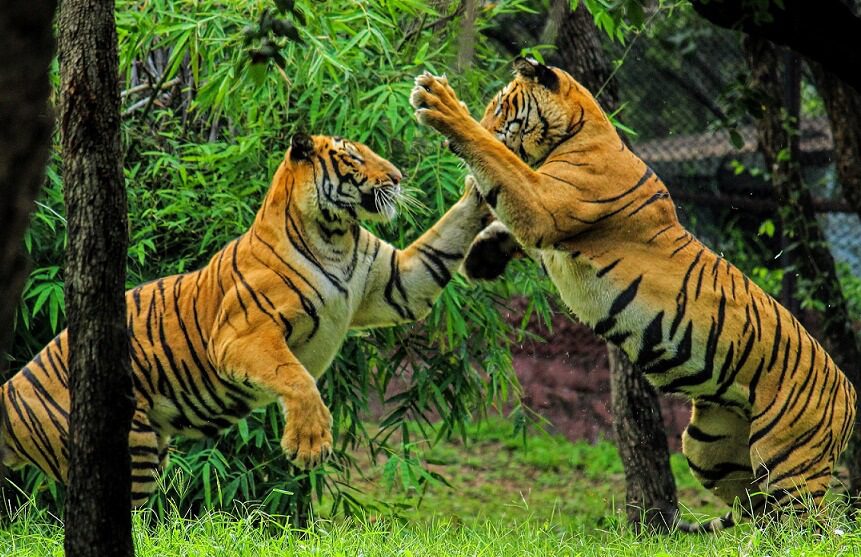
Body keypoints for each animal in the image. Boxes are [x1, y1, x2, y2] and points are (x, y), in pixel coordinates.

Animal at [0, 132, 488, 506]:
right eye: (353, 156)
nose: (398, 178)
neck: (335, 236)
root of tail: (11, 387)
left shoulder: (398, 284)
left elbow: (445, 239)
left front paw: (479, 186)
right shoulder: (243, 334)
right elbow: (295, 376)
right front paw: (309, 444)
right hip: (126, 450)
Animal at [406, 58, 856, 532]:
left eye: (499, 108)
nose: (485, 120)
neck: (580, 131)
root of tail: (850, 394)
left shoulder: (545, 203)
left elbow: (499, 161)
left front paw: (441, 105)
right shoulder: (544, 215)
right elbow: (505, 215)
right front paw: (482, 257)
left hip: (789, 461)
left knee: (811, 527)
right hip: (710, 448)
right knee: (760, 512)